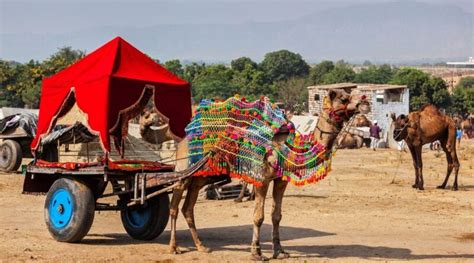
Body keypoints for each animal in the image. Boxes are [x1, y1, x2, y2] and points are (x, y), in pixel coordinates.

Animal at [168, 89, 368, 260]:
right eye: (343, 98)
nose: (365, 102)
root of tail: (182, 140)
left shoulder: (280, 180)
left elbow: (276, 215)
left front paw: (279, 251)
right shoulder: (261, 179)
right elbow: (258, 217)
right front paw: (256, 253)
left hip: (201, 175)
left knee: (188, 207)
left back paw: (201, 246)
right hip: (184, 170)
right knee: (175, 205)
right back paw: (174, 247)